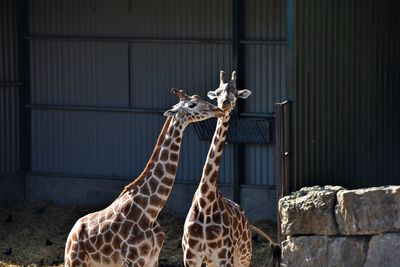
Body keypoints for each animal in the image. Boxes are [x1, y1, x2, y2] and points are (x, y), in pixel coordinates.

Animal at [63, 89, 223, 267]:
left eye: (198, 98)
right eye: (192, 105)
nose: (218, 110)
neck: (150, 212)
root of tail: (70, 236)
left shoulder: (153, 258)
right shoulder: (134, 259)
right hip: (75, 261)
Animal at [182, 71, 282, 267]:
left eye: (235, 94)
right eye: (217, 92)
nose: (224, 104)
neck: (206, 201)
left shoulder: (223, 257)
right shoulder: (191, 257)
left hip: (243, 256)